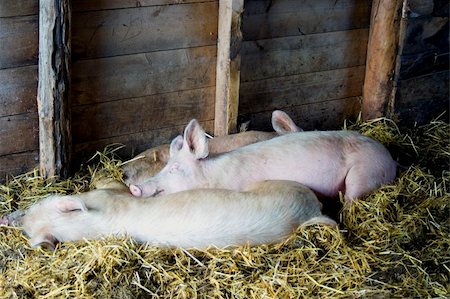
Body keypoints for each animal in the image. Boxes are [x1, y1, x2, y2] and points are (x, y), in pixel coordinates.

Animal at [130, 118, 398, 203]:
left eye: (175, 168)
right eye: (164, 166)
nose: (134, 187)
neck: (214, 176)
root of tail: (391, 158)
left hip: (363, 173)